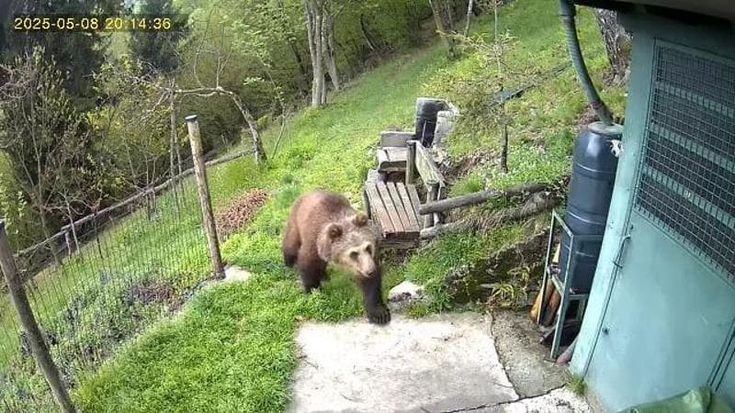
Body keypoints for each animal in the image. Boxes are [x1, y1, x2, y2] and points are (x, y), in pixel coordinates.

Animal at [282, 190, 390, 325]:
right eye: (353, 253)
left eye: (368, 247)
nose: (370, 270)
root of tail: (309, 192)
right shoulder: (313, 242)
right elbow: (307, 265)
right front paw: (313, 291)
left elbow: (370, 285)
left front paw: (379, 312)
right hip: (296, 221)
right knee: (291, 242)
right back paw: (289, 262)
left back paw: (324, 275)